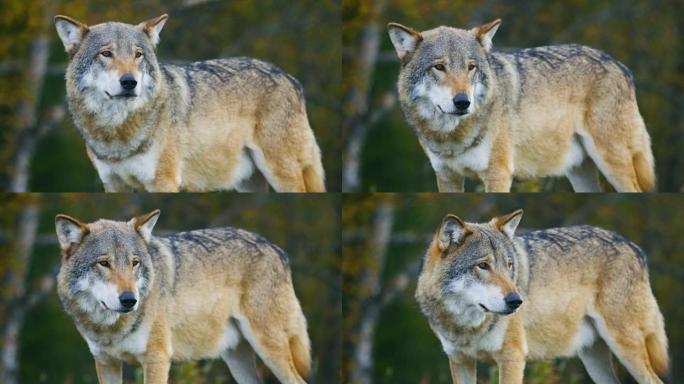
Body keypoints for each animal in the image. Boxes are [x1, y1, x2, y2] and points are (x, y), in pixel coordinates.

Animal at [53, 14, 326, 192]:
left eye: (138, 55)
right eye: (106, 54)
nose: (130, 82)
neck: (117, 133)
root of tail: (290, 79)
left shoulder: (164, 181)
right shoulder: (113, 184)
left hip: (281, 175)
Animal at [54, 210, 312, 384]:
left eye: (134, 263)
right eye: (104, 263)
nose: (129, 300)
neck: (110, 328)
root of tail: (277, 249)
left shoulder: (156, 359)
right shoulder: (106, 362)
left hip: (268, 347)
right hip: (237, 358)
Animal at [388, 19, 656, 192]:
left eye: (470, 67)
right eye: (439, 67)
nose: (463, 102)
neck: (450, 137)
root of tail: (621, 66)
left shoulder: (498, 174)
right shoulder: (446, 175)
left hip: (612, 164)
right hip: (581, 172)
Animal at [414, 210, 672, 384]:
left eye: (509, 265)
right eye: (483, 265)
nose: (516, 301)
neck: (466, 326)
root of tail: (635, 248)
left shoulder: (512, 357)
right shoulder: (460, 360)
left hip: (625, 347)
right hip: (594, 358)